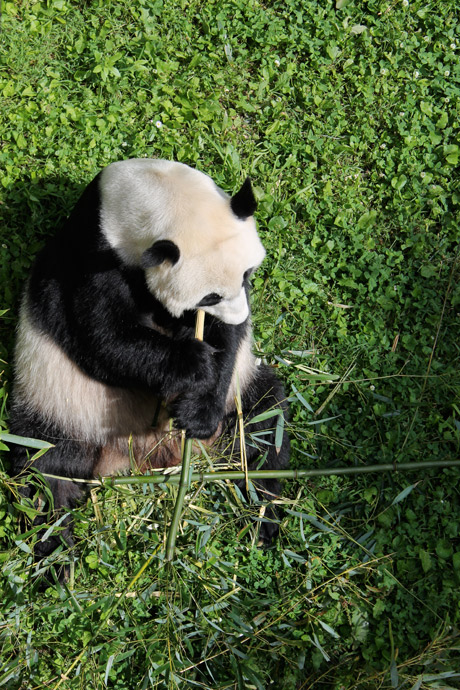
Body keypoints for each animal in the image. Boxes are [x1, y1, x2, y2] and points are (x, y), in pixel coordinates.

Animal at [9, 159, 290, 556]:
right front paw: (193, 360)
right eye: (210, 297)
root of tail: (145, 453)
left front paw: (198, 408)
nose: (238, 316)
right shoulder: (88, 258)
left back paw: (262, 514)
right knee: (42, 469)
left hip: (239, 395)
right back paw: (58, 549)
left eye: (248, 274)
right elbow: (102, 340)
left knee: (263, 423)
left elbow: (227, 346)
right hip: (60, 406)